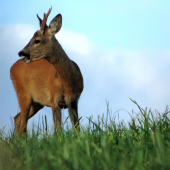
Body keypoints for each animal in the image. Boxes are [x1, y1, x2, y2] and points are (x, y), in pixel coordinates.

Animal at [10, 6, 83, 135]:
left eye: (37, 40)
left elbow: (77, 129)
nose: (21, 52)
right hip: (22, 93)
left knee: (17, 118)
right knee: (23, 124)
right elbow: (58, 130)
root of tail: (11, 68)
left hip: (37, 103)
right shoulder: (54, 99)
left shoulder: (74, 101)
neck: (68, 83)